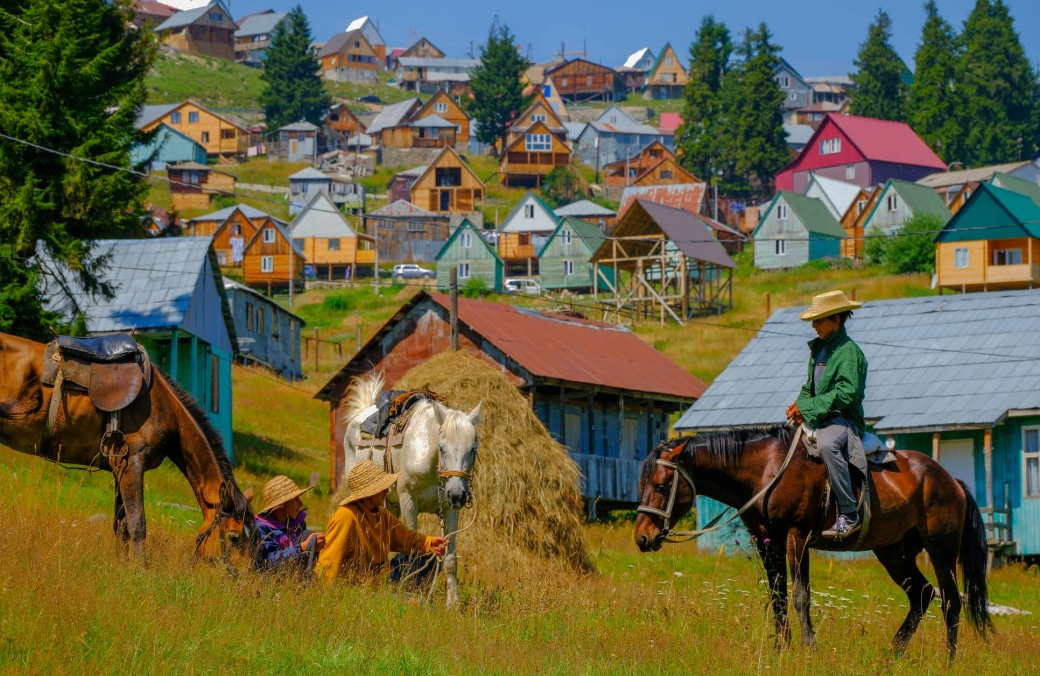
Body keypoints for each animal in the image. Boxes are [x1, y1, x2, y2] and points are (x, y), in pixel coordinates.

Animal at [0, 330, 255, 557]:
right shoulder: (132, 465)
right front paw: (141, 570)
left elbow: (121, 526)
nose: (244, 576)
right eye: (234, 537)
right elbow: (137, 524)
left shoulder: (119, 469)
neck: (166, 409)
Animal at [345, 370, 482, 603]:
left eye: (472, 448)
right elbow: (410, 554)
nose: (457, 495)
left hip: (390, 505)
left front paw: (453, 603)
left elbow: (450, 559)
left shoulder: (449, 510)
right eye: (442, 447)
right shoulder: (409, 502)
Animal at [632, 426, 990, 657]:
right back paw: (893, 653)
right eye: (643, 483)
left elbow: (800, 596)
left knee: (950, 602)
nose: (642, 537)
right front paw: (781, 648)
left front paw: (809, 648)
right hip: (894, 552)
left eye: (661, 485)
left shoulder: (797, 537)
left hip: (941, 551)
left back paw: (949, 660)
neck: (767, 469)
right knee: (922, 594)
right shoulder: (768, 541)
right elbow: (777, 597)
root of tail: (949, 480)